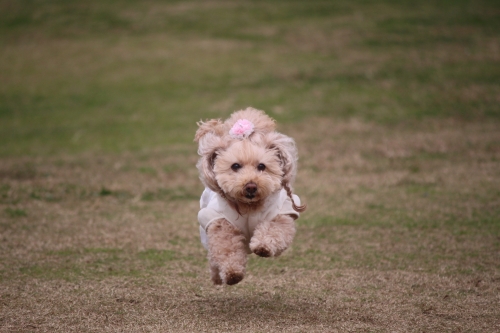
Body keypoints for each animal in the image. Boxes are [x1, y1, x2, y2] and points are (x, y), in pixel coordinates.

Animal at [194, 107, 304, 284]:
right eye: (235, 166)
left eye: (262, 166)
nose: (251, 186)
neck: (248, 206)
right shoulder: (220, 222)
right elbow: (226, 248)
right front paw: (232, 273)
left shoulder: (279, 213)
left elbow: (274, 230)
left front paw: (263, 247)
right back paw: (217, 277)